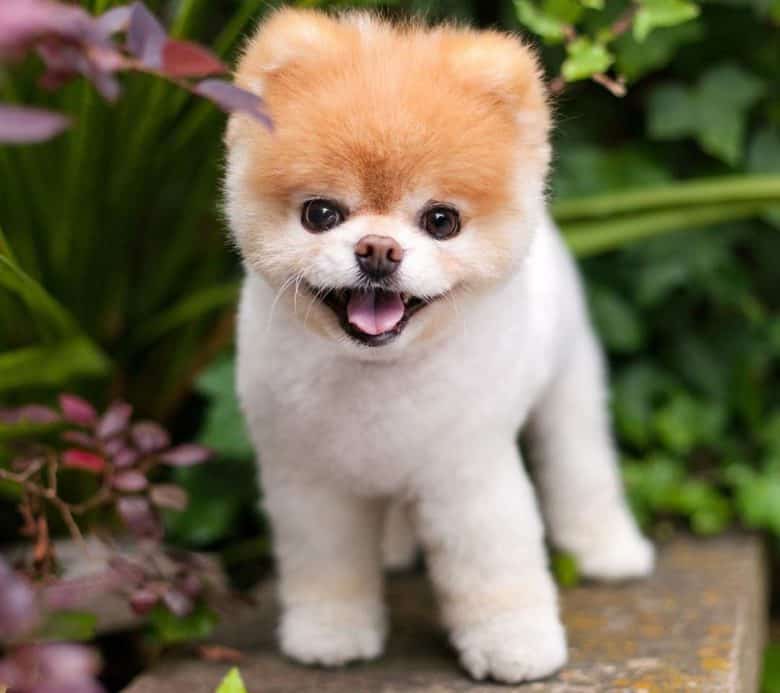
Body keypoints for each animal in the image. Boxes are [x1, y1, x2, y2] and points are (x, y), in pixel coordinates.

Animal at [222, 9, 656, 680]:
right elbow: (325, 565)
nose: (378, 249)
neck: (377, 375)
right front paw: (330, 634)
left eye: (441, 221)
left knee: (580, 463)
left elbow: (493, 565)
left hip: (570, 382)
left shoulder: (468, 473)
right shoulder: (311, 482)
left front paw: (515, 645)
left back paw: (610, 550)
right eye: (320, 214)